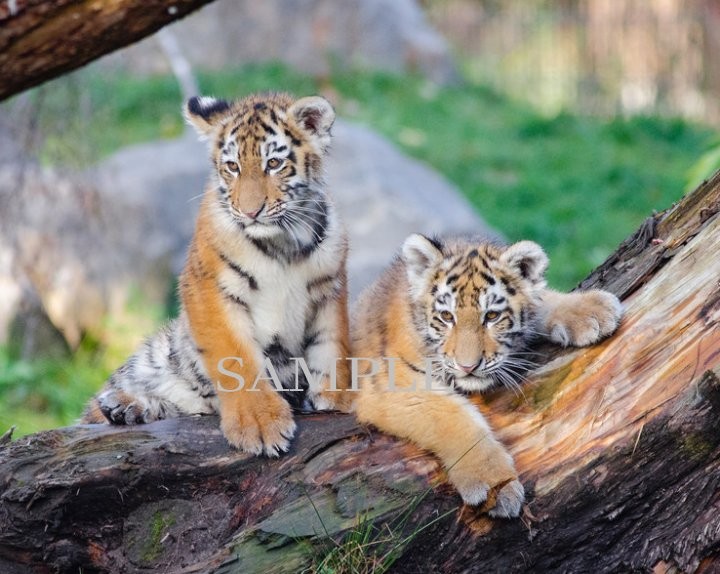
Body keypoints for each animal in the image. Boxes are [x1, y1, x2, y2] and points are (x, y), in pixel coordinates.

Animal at [83, 92, 353, 456]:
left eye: (274, 164)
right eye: (232, 167)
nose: (251, 212)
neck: (282, 242)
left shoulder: (329, 287)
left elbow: (332, 344)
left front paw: (338, 397)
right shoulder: (208, 288)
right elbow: (236, 358)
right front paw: (259, 425)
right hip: (154, 358)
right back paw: (122, 405)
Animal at [351, 233, 623, 517]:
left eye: (491, 316)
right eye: (446, 316)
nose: (467, 366)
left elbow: (541, 299)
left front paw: (592, 309)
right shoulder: (393, 385)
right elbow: (454, 418)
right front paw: (495, 486)